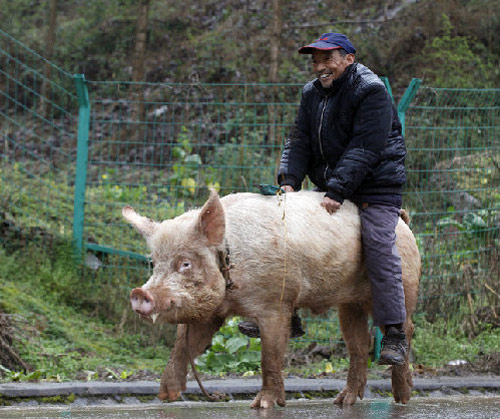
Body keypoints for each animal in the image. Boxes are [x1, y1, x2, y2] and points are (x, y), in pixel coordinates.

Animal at [123, 190, 420, 410]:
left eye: (185, 263)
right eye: (153, 263)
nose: (139, 293)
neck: (231, 261)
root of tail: (403, 221)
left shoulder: (276, 302)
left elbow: (270, 355)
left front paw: (263, 405)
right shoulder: (212, 311)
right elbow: (184, 345)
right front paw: (167, 395)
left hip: (404, 284)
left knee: (404, 328)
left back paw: (402, 396)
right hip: (349, 304)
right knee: (359, 344)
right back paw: (342, 401)